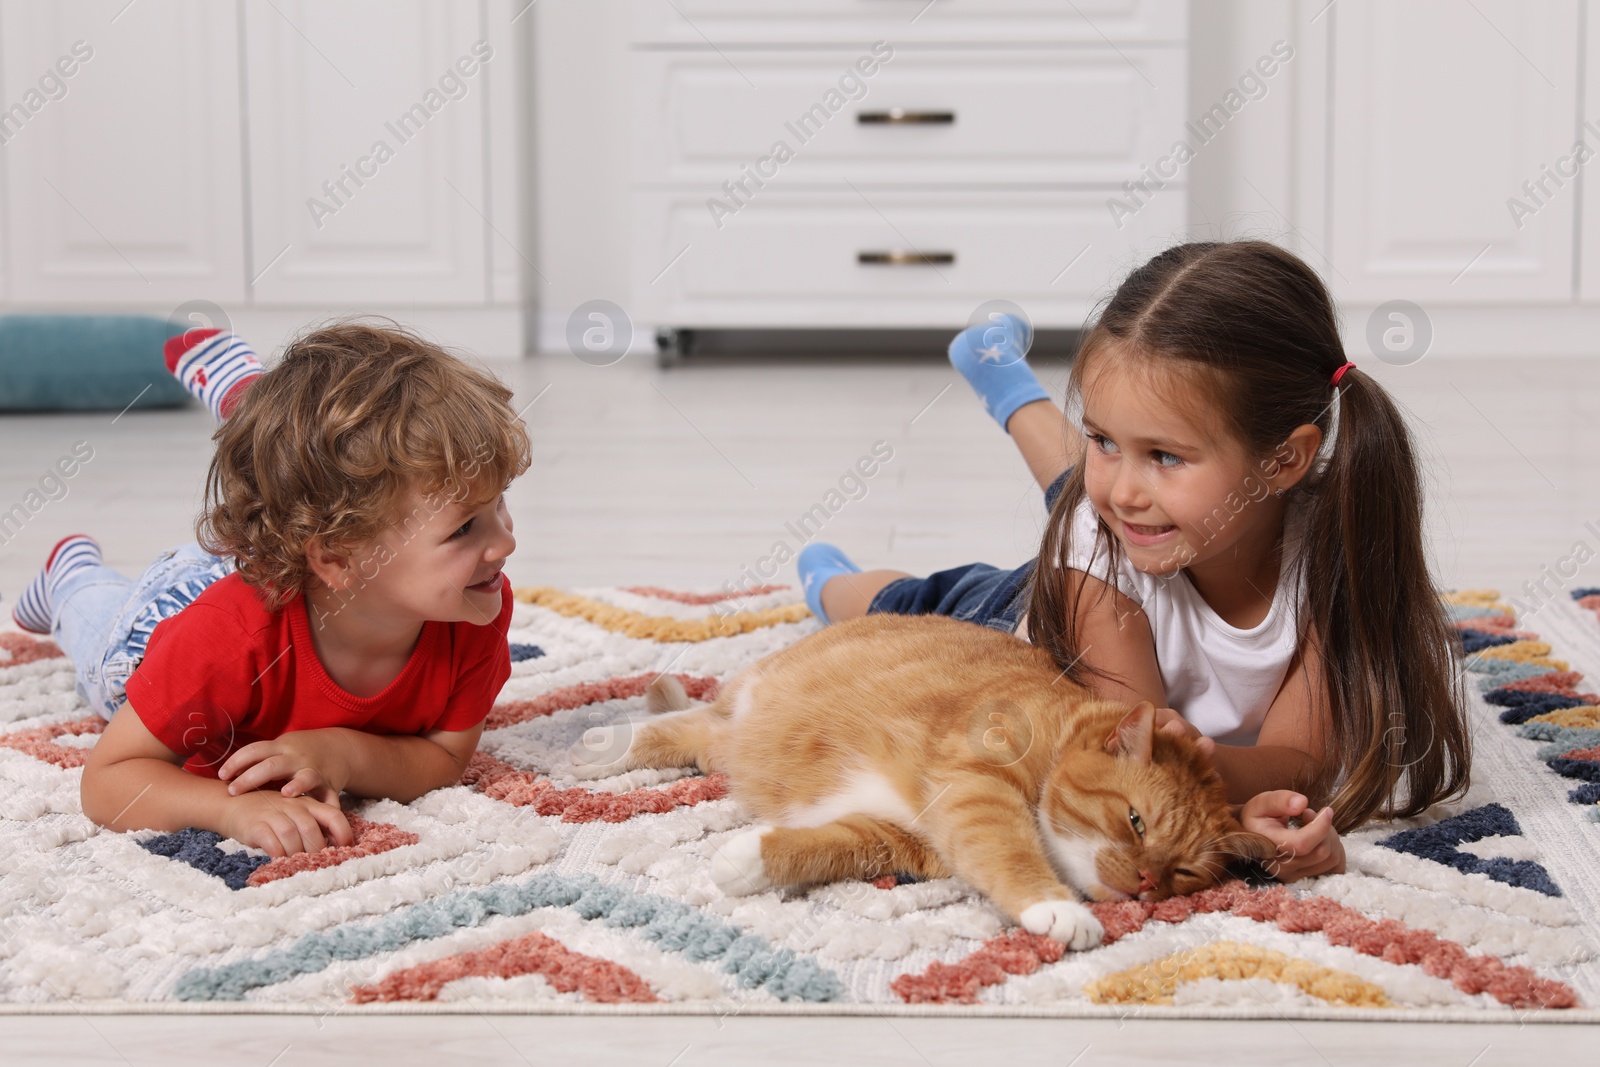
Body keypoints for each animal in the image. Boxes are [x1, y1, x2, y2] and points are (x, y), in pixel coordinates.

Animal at [576, 614, 1273, 947]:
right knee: (676, 725)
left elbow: (833, 846)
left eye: (1185, 872)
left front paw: (746, 861)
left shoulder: (902, 840)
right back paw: (594, 748)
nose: (1149, 883)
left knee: (691, 733)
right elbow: (1012, 853)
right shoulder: (977, 791)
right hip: (737, 723)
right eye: (1135, 821)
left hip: (732, 747)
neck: (1054, 736)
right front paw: (1057, 908)